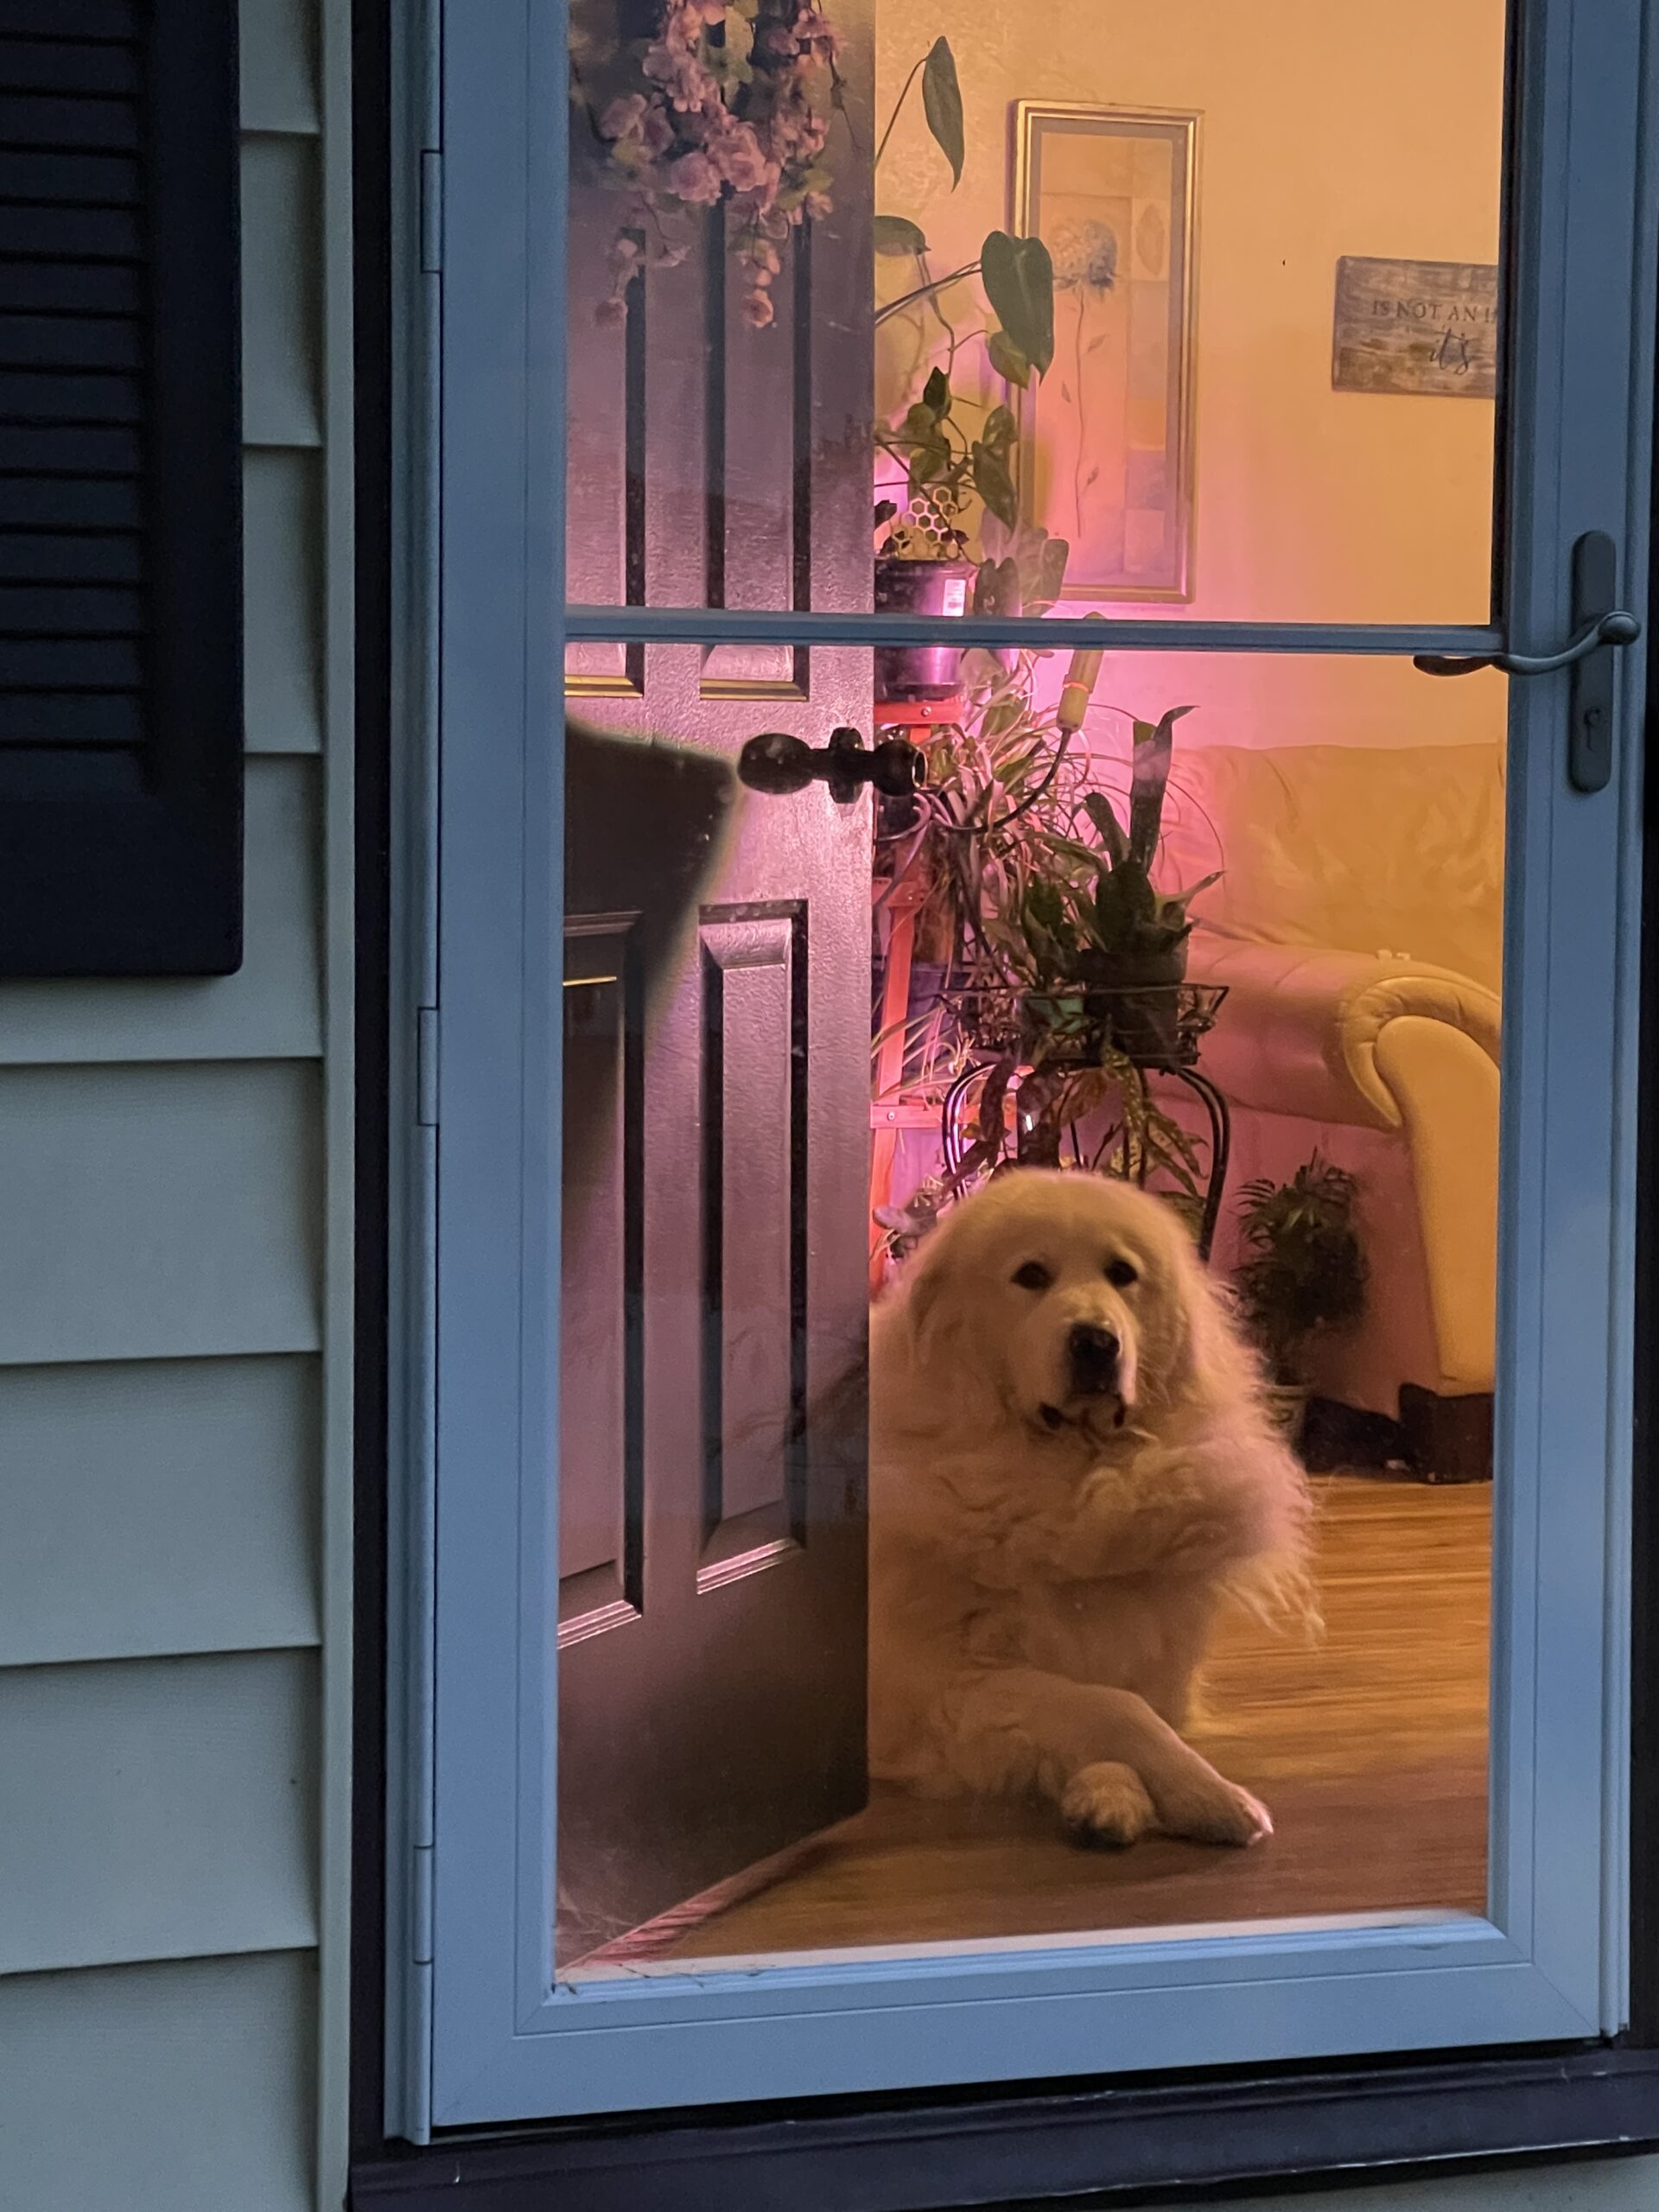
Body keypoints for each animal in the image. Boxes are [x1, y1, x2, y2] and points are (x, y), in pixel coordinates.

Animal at [871, 1176, 1309, 1849]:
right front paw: (1205, 1795)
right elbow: (1112, 1708)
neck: (1071, 1488)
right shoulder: (943, 1686)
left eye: (1121, 1273)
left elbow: (1127, 1699)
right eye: (1031, 1275)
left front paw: (1111, 1794)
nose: (1096, 1342)